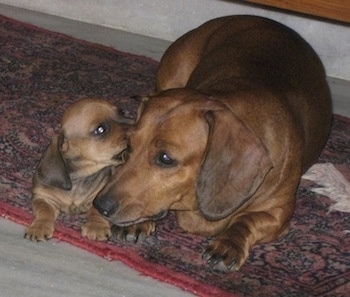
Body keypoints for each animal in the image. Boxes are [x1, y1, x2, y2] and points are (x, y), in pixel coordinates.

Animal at [23, 98, 133, 242]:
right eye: (100, 129)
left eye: (121, 112)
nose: (136, 125)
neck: (81, 176)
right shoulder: (43, 197)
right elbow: (44, 211)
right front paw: (39, 226)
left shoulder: (99, 198)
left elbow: (96, 211)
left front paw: (96, 227)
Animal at [92, 16, 330, 270]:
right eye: (129, 145)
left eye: (165, 158)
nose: (100, 205)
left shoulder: (279, 211)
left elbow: (247, 220)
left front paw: (229, 243)